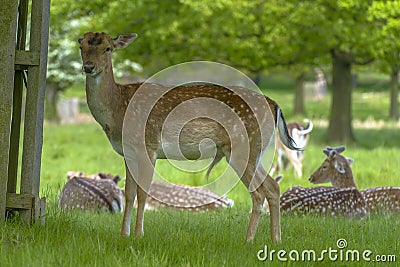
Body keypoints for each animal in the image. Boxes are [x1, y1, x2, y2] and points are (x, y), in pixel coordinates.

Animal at [77, 31, 300, 243]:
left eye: (108, 48)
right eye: (82, 45)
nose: (89, 67)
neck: (118, 110)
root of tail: (275, 105)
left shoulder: (147, 145)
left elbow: (143, 193)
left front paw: (139, 234)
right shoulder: (128, 152)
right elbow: (129, 193)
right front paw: (124, 234)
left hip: (243, 146)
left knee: (259, 192)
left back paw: (249, 240)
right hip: (255, 150)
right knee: (273, 187)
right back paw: (275, 239)